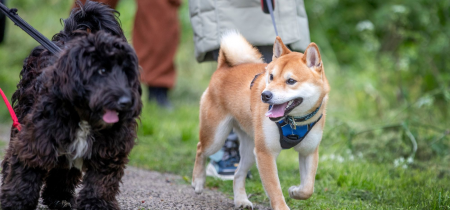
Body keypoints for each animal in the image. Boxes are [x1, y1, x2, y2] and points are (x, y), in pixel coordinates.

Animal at [0, 0, 141, 209]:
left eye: (127, 72)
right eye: (102, 70)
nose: (125, 102)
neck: (86, 116)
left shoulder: (110, 150)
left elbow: (101, 182)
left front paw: (96, 204)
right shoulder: (37, 139)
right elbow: (25, 169)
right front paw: (16, 201)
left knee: (64, 170)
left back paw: (60, 197)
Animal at [191, 31, 330, 210]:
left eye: (291, 81)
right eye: (271, 77)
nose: (265, 95)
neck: (293, 122)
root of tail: (223, 67)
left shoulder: (309, 152)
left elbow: (308, 188)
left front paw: (295, 191)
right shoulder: (266, 154)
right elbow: (274, 188)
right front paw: (282, 206)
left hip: (250, 150)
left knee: (238, 175)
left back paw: (241, 200)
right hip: (216, 138)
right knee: (200, 149)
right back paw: (198, 181)